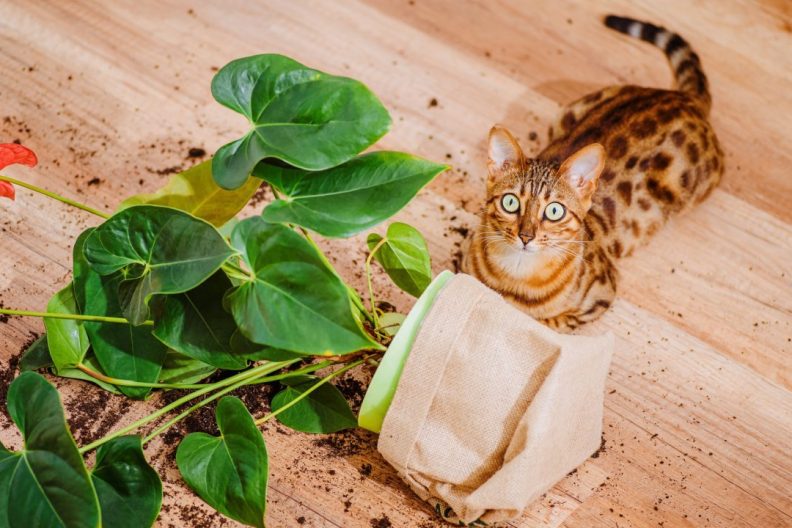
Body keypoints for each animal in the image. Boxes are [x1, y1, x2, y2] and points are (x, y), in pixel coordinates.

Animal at [464, 15, 724, 330]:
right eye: (510, 202)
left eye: (554, 211)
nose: (526, 236)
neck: (516, 276)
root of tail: (684, 97)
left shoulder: (601, 295)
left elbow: (552, 321)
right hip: (570, 111)